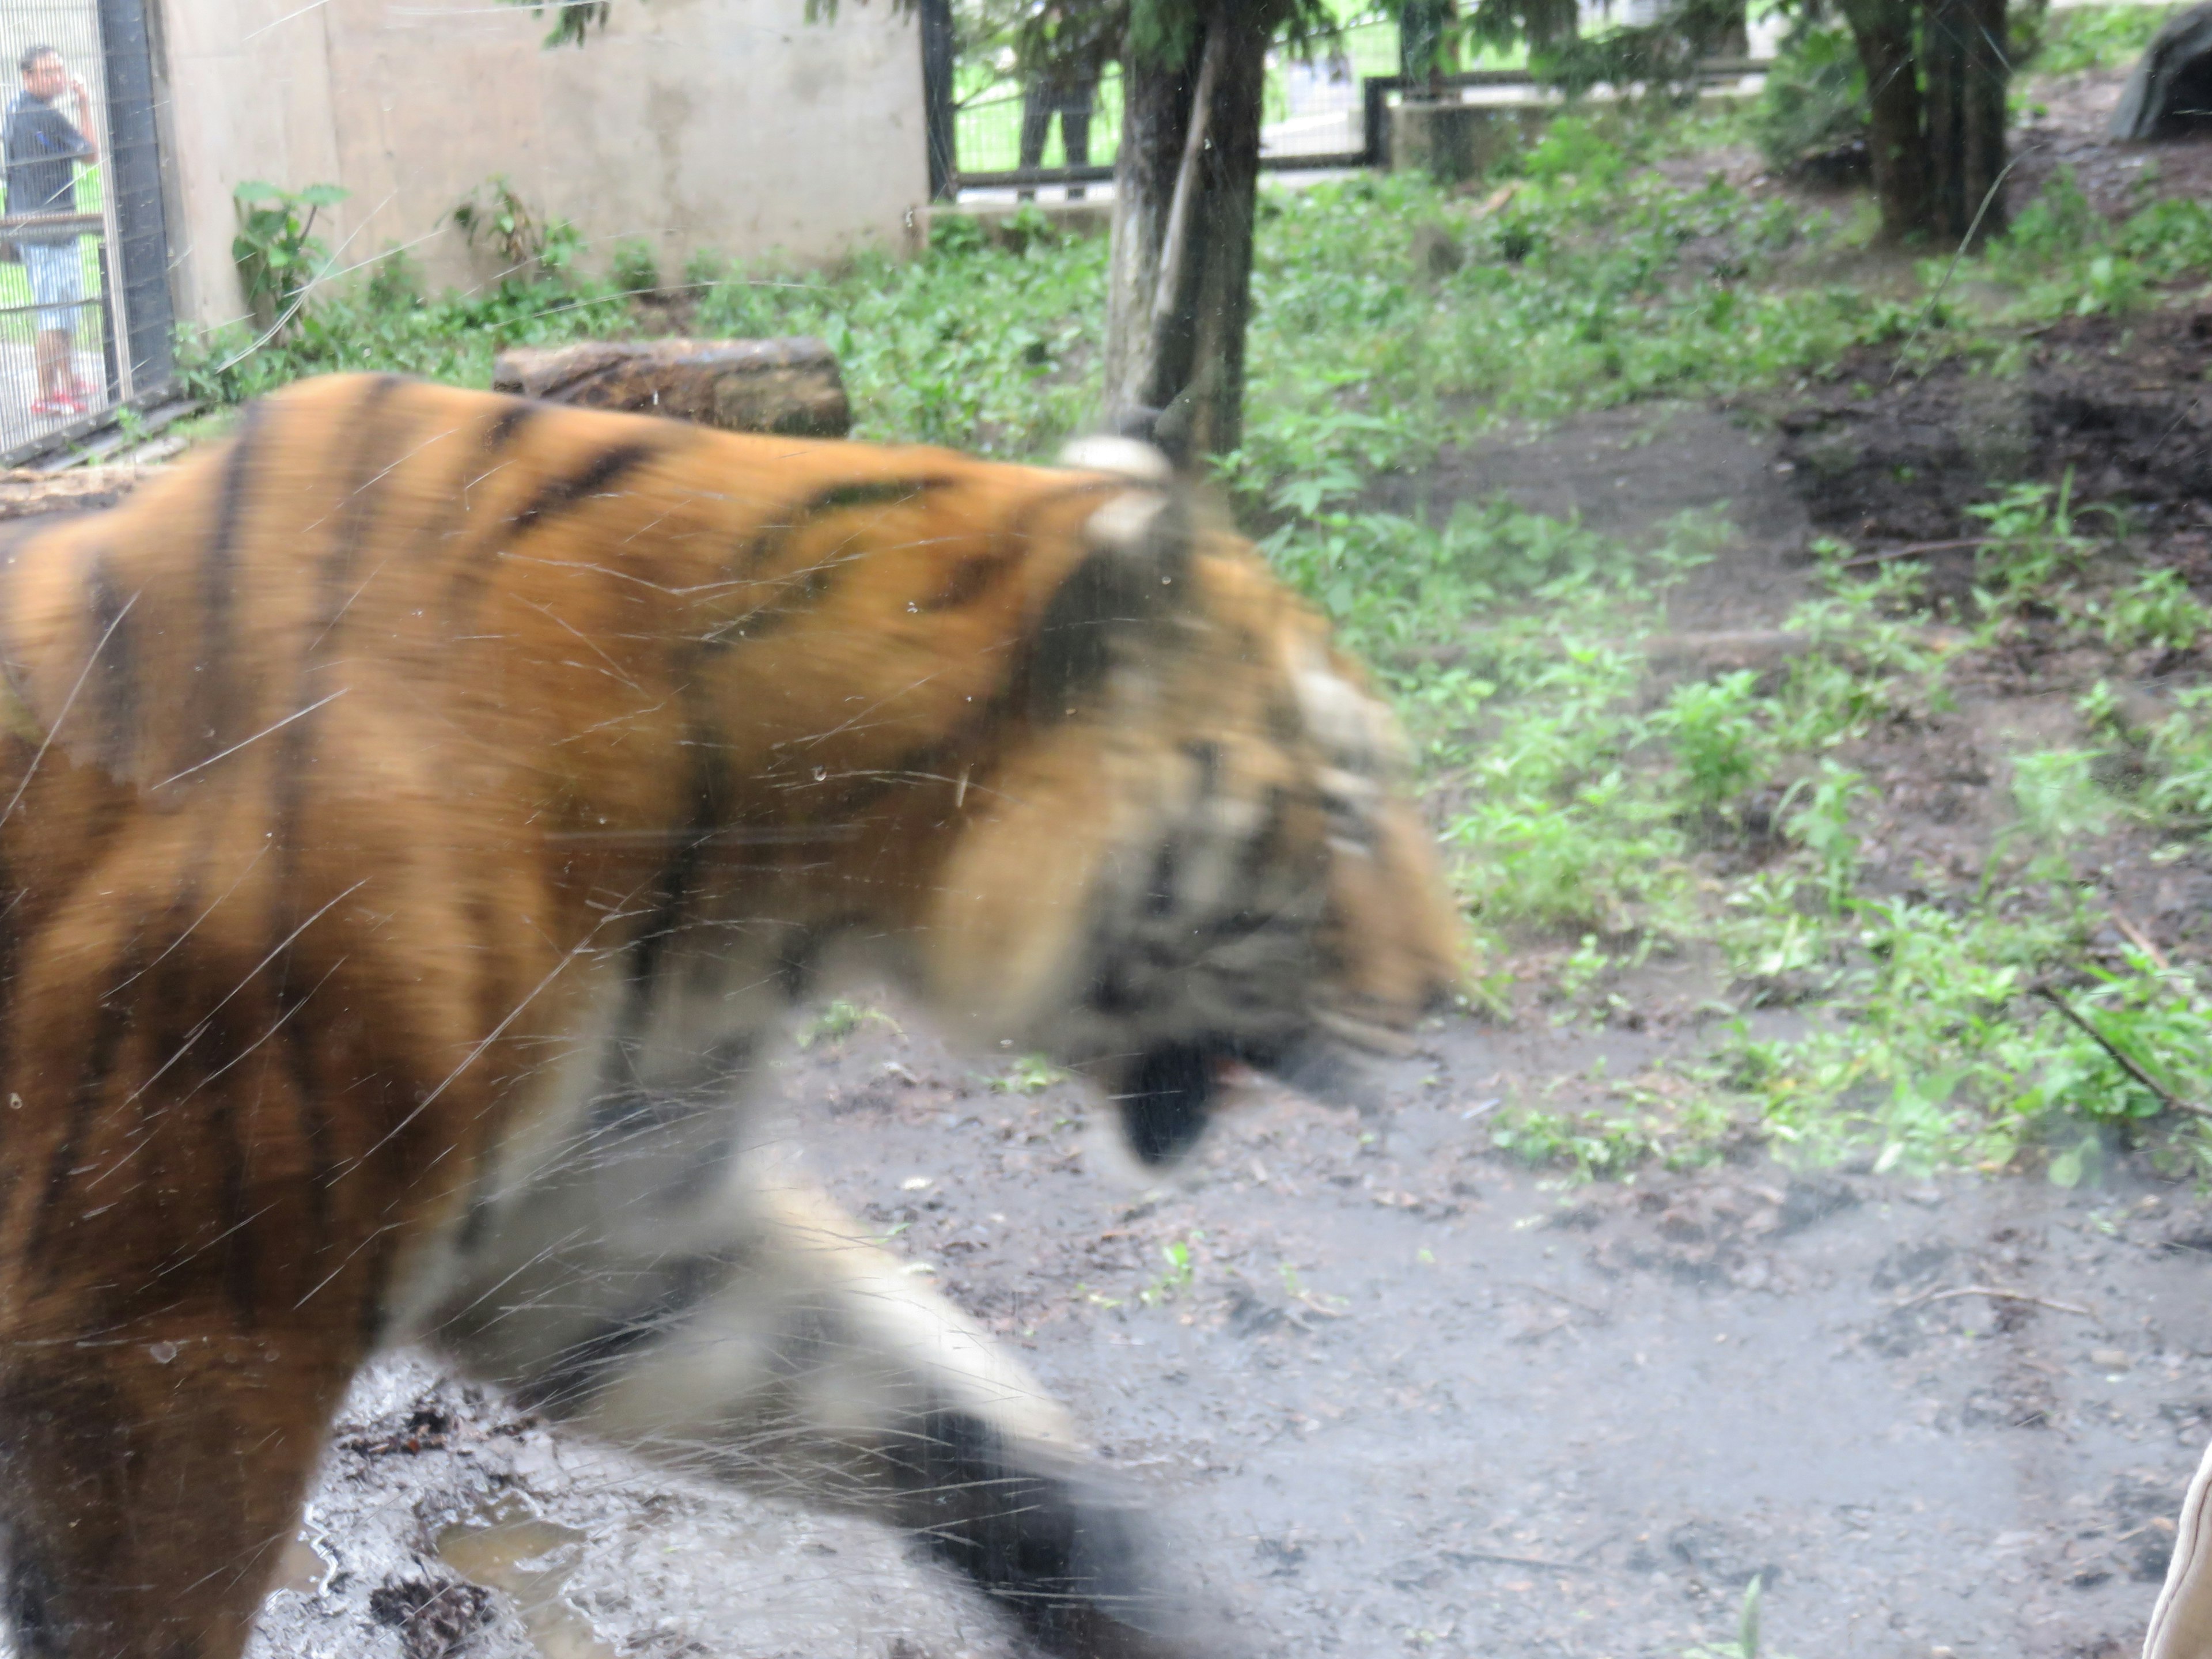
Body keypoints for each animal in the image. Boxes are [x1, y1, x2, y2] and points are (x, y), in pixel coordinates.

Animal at [0, 376, 1451, 1659]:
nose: (1446, 991)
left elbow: (954, 1431)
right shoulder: (175, 1330)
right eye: (1341, 812)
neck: (774, 871)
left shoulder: (604, 1235)